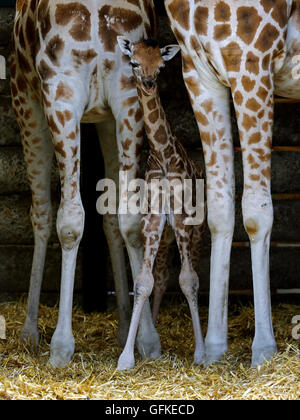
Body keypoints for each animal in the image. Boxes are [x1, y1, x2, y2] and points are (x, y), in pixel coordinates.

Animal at [10, 0, 161, 368]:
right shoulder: (59, 92)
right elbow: (70, 222)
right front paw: (62, 344)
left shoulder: (128, 97)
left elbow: (130, 221)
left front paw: (147, 341)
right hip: (27, 100)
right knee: (41, 213)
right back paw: (29, 332)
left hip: (96, 117)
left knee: (105, 218)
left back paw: (123, 326)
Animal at [117, 37, 206, 370]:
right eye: (134, 62)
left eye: (161, 65)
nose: (148, 82)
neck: (165, 155)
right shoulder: (153, 219)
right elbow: (144, 281)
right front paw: (127, 357)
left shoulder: (180, 218)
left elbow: (189, 280)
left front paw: (201, 353)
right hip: (167, 238)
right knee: (164, 276)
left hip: (196, 232)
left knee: (193, 275)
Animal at [165, 0, 298, 366]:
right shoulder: (199, 70)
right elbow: (219, 212)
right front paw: (213, 347)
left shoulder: (252, 59)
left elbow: (256, 212)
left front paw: (263, 347)